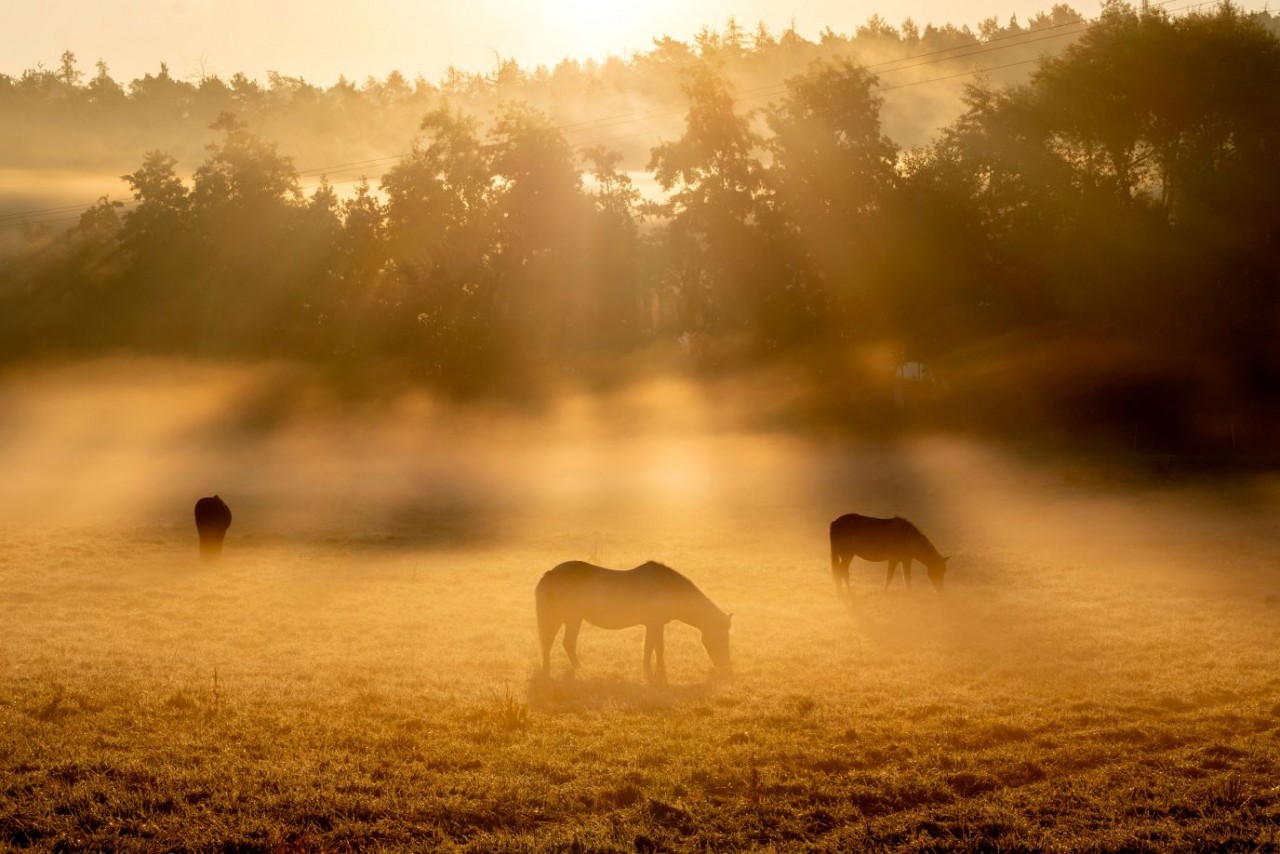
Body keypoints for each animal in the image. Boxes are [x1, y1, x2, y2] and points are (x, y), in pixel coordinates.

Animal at [532, 560, 732, 686]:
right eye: (723, 638)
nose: (725, 665)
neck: (667, 586)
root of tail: (550, 574)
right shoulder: (654, 623)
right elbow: (653, 648)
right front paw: (654, 673)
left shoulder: (656, 625)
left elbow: (654, 648)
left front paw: (654, 672)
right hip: (572, 619)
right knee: (566, 643)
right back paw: (579, 668)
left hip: (559, 618)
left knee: (548, 642)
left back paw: (547, 669)